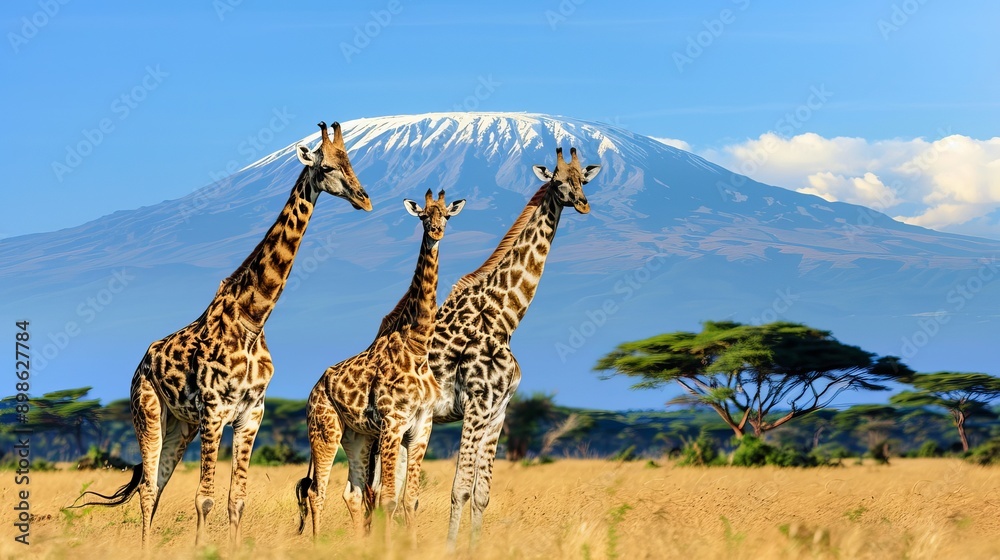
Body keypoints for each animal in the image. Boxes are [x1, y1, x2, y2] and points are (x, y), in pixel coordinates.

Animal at [70, 121, 372, 548]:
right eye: (327, 166)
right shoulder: (214, 411)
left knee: (157, 485)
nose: (365, 200)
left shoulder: (251, 415)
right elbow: (205, 498)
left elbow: (237, 499)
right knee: (146, 487)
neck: (253, 318)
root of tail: (142, 363)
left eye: (352, 162)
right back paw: (144, 547)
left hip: (181, 426)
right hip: (148, 412)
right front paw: (201, 549)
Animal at [295, 189, 465, 541]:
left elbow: (410, 500)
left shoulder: (421, 427)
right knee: (317, 491)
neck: (418, 346)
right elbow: (388, 499)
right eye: (423, 215)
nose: (436, 232)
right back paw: (317, 543)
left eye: (446, 215)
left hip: (356, 436)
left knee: (351, 492)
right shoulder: (392, 423)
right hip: (325, 428)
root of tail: (313, 389)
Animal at [427, 146, 600, 548]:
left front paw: (473, 549)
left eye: (583, 179)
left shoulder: (499, 410)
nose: (583, 204)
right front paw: (449, 549)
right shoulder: (475, 404)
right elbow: (459, 487)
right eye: (557, 180)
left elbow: (481, 493)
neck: (503, 320)